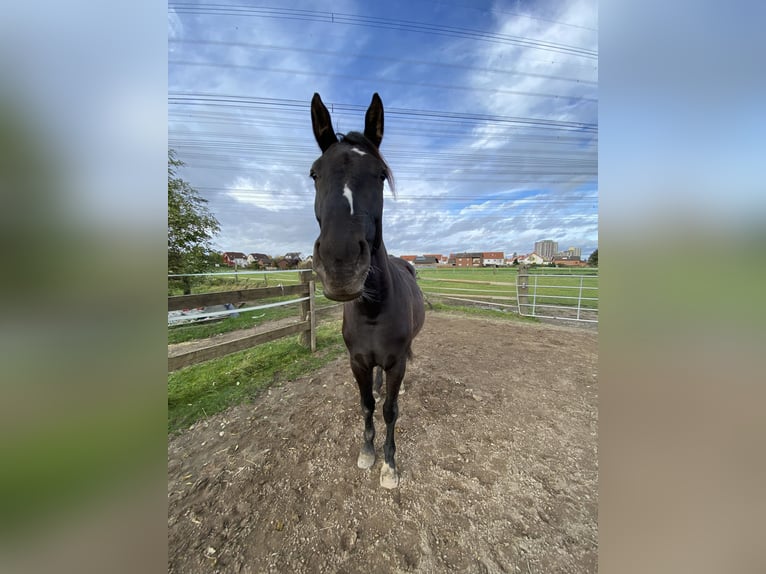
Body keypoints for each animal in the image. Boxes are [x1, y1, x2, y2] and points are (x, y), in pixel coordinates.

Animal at [309, 92, 425, 489]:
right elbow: (367, 405)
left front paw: (389, 465)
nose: (341, 263)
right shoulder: (358, 361)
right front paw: (367, 452)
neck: (373, 310)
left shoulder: (395, 362)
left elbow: (390, 410)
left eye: (380, 175)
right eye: (314, 174)